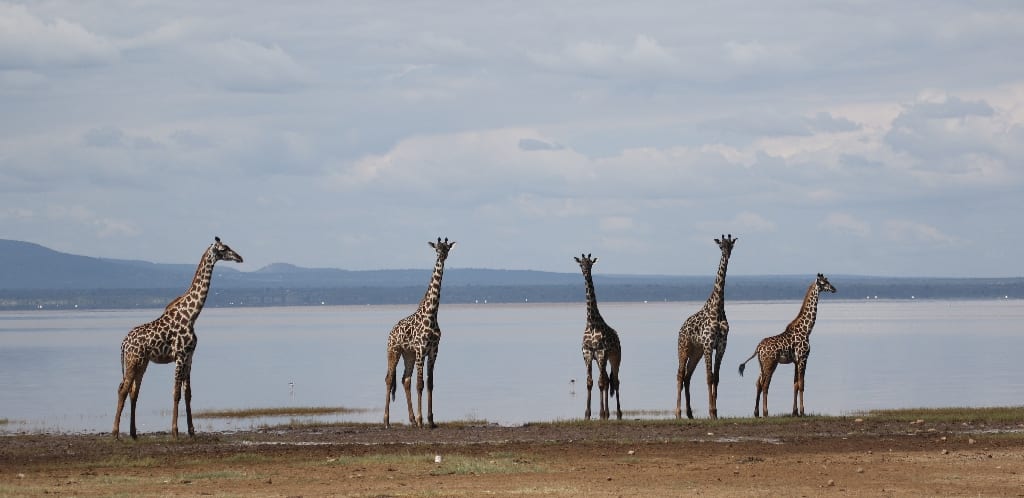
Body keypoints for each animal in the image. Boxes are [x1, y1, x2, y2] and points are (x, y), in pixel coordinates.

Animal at [112, 236, 243, 439]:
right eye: (223, 249)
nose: (239, 257)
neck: (192, 315)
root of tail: (124, 343)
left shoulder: (189, 356)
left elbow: (187, 393)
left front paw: (191, 431)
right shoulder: (180, 355)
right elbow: (176, 393)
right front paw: (174, 431)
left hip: (142, 362)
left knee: (134, 391)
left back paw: (133, 433)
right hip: (133, 361)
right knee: (123, 389)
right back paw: (115, 433)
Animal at [384, 237, 455, 428]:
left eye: (447, 248)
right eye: (436, 248)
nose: (442, 256)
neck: (432, 313)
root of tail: (391, 331)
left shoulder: (433, 351)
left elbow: (429, 384)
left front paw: (430, 420)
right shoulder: (421, 349)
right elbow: (420, 384)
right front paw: (422, 420)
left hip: (408, 354)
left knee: (404, 380)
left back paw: (412, 419)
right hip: (393, 351)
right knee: (389, 379)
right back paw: (386, 421)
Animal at [575, 253, 623, 420]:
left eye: (590, 264)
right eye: (581, 264)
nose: (585, 272)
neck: (592, 322)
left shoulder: (601, 353)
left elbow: (601, 383)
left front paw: (601, 414)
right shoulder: (588, 354)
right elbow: (590, 382)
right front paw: (587, 414)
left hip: (615, 358)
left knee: (615, 381)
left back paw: (618, 413)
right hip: (602, 360)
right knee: (608, 380)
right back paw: (608, 413)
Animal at [675, 234, 737, 420]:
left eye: (731, 245)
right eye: (721, 246)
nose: (727, 254)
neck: (717, 308)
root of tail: (681, 329)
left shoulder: (721, 345)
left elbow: (716, 377)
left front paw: (715, 412)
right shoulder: (709, 345)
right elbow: (709, 377)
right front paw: (711, 411)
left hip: (696, 352)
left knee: (687, 376)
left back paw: (689, 413)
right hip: (684, 348)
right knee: (680, 375)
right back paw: (678, 413)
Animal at [738, 273, 837, 417]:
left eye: (828, 280)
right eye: (824, 283)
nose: (834, 289)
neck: (807, 330)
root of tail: (758, 348)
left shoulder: (795, 361)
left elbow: (795, 384)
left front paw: (794, 411)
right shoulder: (803, 358)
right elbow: (802, 384)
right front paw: (802, 411)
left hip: (762, 364)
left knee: (758, 383)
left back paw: (756, 412)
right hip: (770, 363)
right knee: (765, 384)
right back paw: (766, 412)